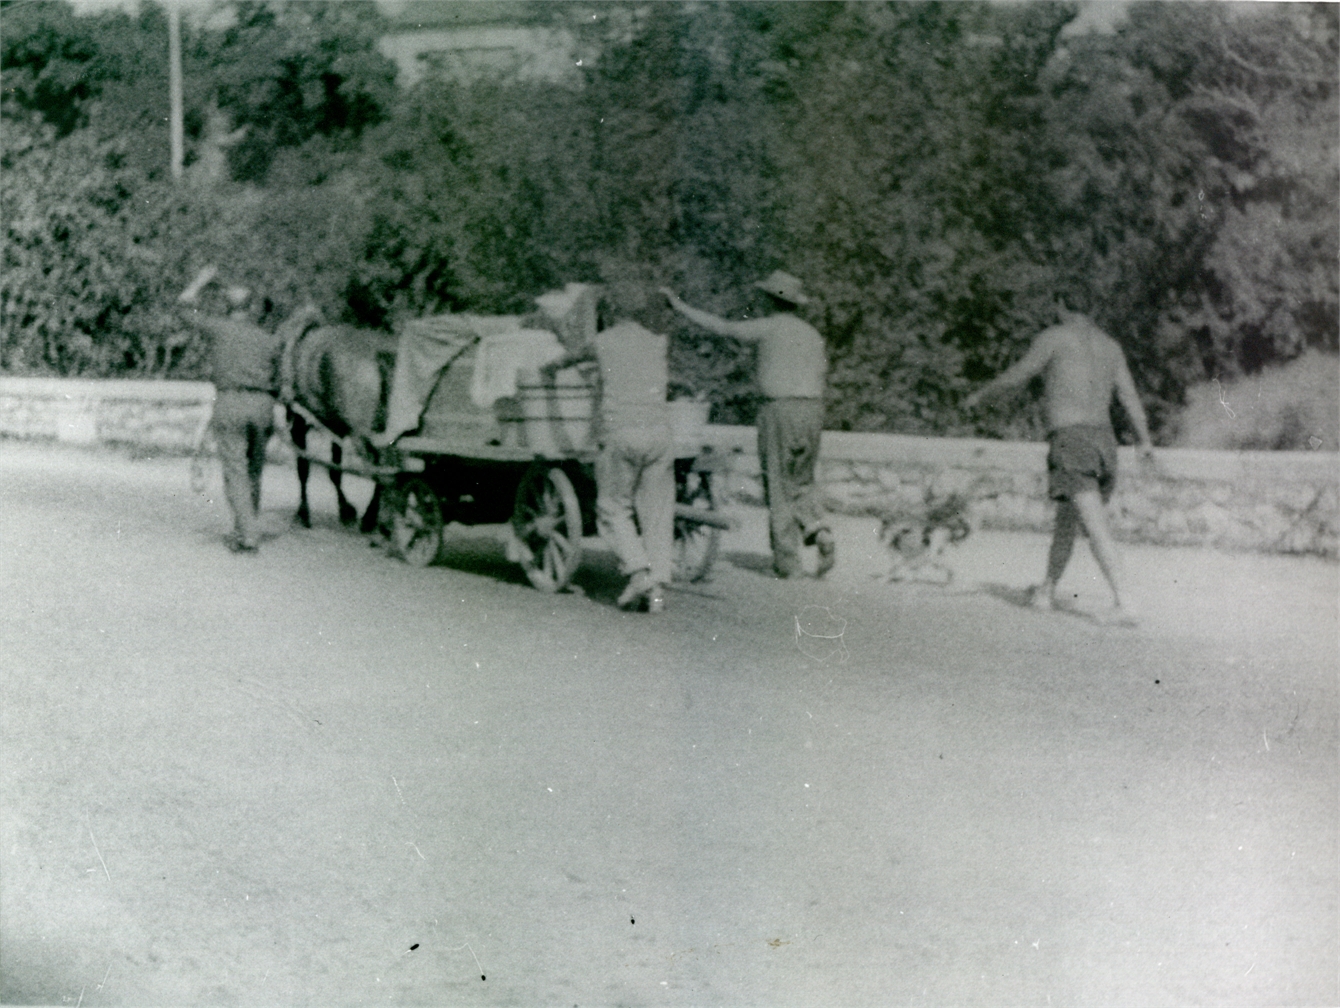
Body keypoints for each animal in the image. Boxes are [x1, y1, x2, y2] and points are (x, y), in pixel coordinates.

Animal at [284, 323, 398, 535]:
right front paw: (346, 510)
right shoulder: (335, 426)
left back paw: (372, 520)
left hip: (362, 434)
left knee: (381, 470)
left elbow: (304, 468)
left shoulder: (300, 423)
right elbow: (335, 470)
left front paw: (304, 513)